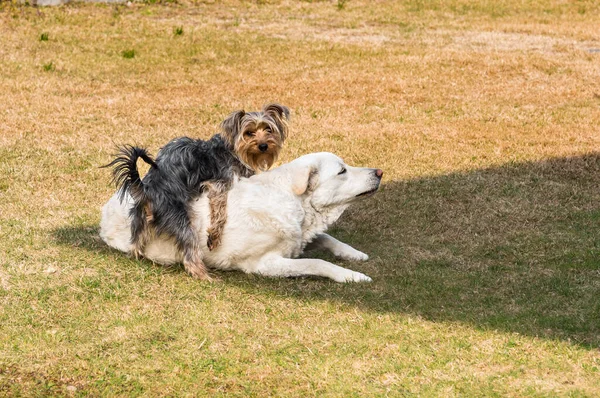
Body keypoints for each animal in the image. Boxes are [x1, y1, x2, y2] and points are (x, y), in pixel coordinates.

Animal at [100, 152, 382, 282]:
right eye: (342, 171)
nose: (379, 172)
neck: (293, 202)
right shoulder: (265, 264)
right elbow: (317, 263)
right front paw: (351, 275)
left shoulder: (300, 236)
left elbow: (325, 237)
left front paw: (353, 254)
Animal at [104, 104, 292, 282]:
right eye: (249, 133)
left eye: (268, 129)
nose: (263, 145)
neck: (234, 151)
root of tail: (146, 191)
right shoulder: (218, 184)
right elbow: (220, 211)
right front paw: (214, 237)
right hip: (182, 220)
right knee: (189, 254)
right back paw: (205, 276)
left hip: (139, 219)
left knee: (135, 244)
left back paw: (137, 255)